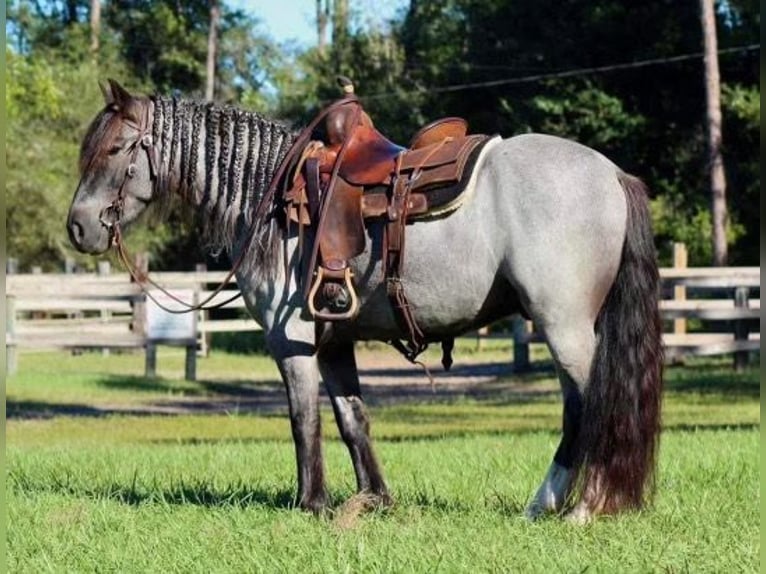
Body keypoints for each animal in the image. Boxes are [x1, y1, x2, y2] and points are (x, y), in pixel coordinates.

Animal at [67, 81, 664, 528]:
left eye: (116, 150)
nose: (77, 227)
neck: (268, 196)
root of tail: (613, 174)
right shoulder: (334, 341)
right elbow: (352, 418)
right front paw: (373, 499)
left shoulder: (291, 339)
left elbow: (303, 418)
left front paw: (311, 504)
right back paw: (549, 505)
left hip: (565, 328)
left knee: (592, 406)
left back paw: (578, 507)